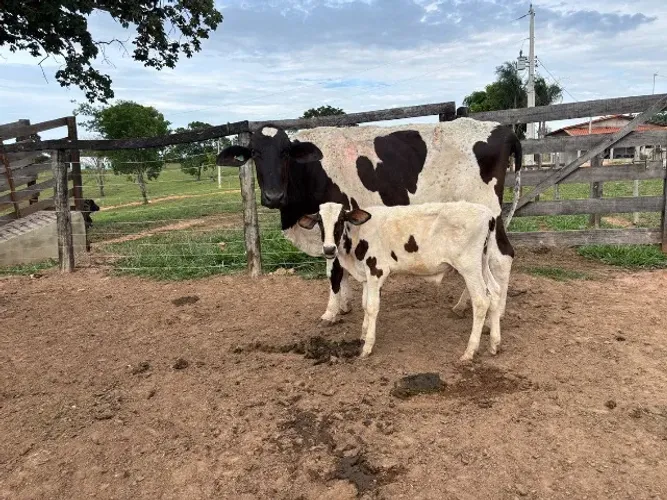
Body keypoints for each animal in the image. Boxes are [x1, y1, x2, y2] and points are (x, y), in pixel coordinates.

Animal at [216, 118, 522, 326]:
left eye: (285, 153)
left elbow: (333, 270)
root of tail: (502, 129)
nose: (273, 196)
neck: (311, 170)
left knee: (502, 257)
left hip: (490, 212)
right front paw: (345, 304)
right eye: (255, 154)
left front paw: (331, 310)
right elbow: (340, 268)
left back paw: (497, 312)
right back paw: (465, 305)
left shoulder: (336, 215)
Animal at [298, 201, 501, 360]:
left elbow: (372, 307)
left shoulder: (376, 271)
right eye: (319, 222)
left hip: (469, 267)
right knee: (495, 293)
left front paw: (367, 346)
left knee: (481, 301)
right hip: (483, 262)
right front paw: (363, 334)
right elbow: (364, 304)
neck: (357, 235)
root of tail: (488, 214)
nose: (329, 249)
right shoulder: (365, 276)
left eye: (341, 219)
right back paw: (494, 344)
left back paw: (470, 350)